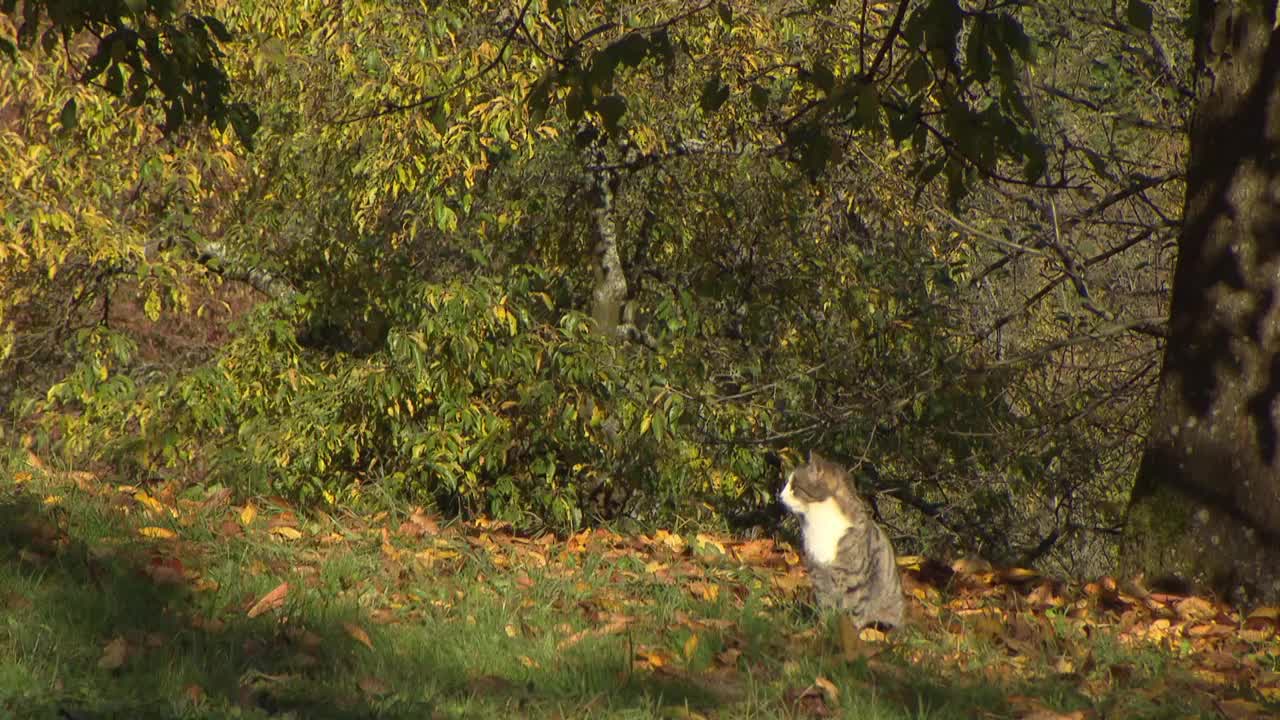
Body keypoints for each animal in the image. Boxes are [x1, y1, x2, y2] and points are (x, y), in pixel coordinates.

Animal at [773, 445, 906, 625]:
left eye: (794, 488)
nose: (779, 497)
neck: (819, 523)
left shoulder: (853, 581)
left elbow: (853, 612)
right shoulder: (819, 577)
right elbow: (826, 608)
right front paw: (823, 627)